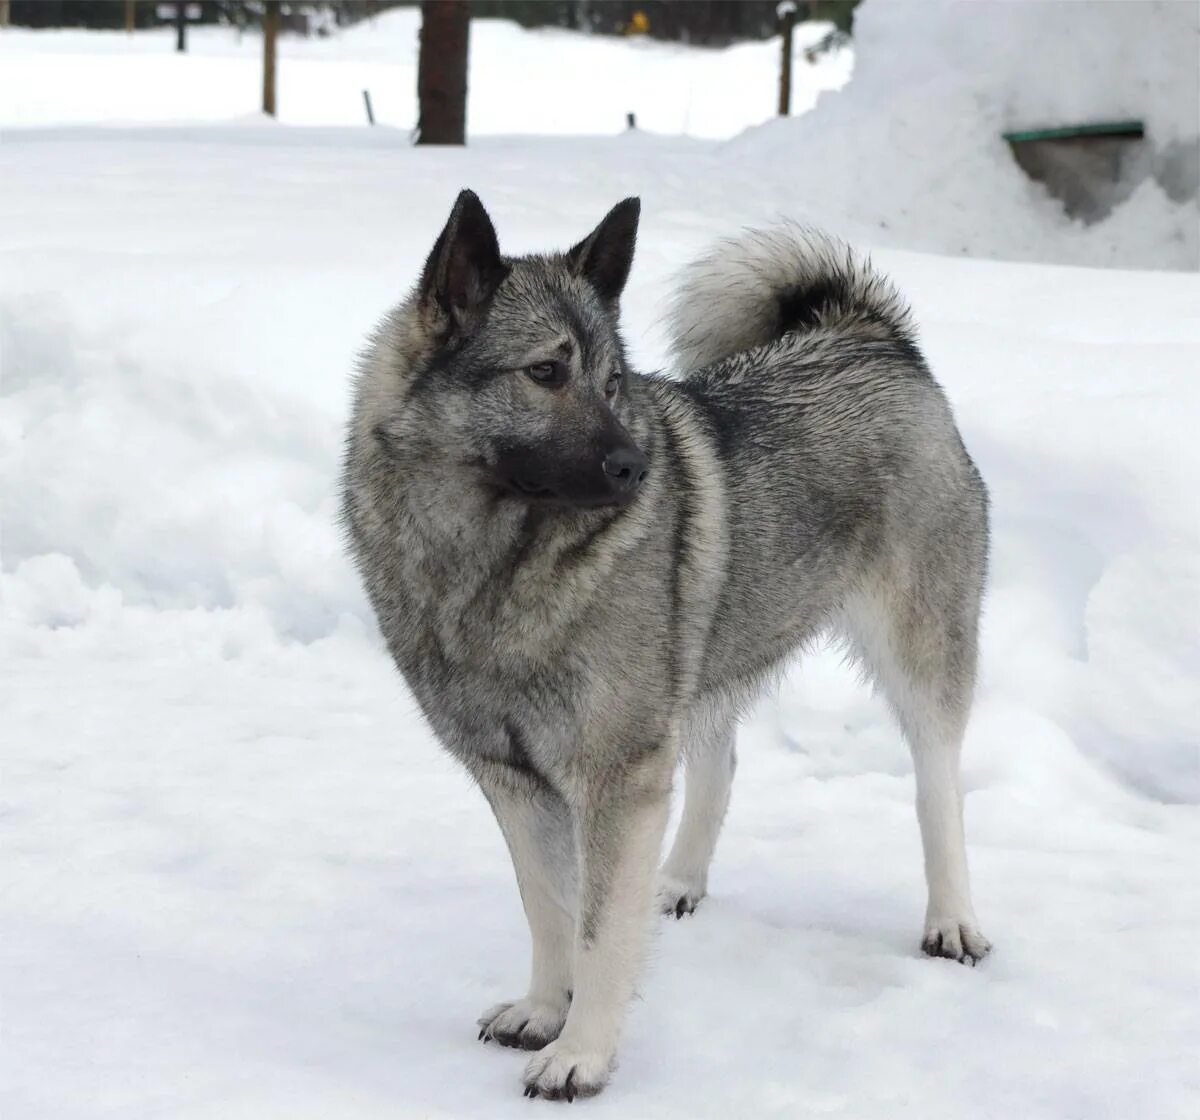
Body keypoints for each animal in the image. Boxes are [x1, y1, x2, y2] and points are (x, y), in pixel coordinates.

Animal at [343, 192, 988, 1099]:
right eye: (546, 373)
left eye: (613, 381)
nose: (636, 466)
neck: (493, 561)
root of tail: (869, 334)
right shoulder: (516, 783)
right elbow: (550, 911)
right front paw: (543, 1009)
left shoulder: (616, 777)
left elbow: (597, 930)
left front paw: (581, 1052)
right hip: (701, 664)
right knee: (718, 767)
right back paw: (678, 880)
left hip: (920, 649)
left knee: (938, 786)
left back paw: (952, 919)